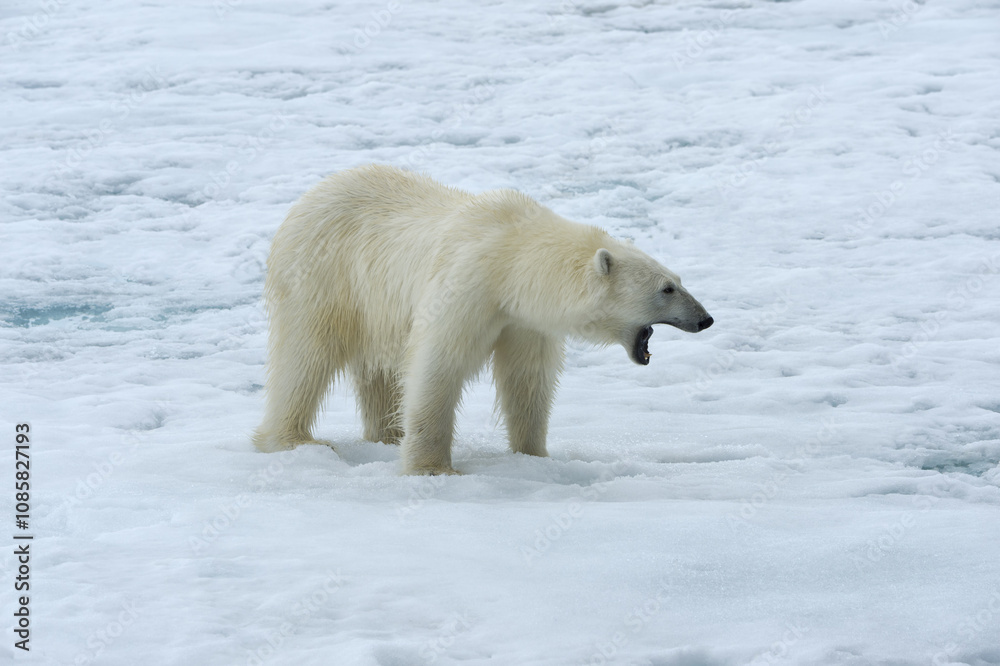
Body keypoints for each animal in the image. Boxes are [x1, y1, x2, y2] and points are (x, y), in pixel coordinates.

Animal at [253, 164, 713, 475]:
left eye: (678, 279)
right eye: (667, 288)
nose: (706, 319)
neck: (511, 257)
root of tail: (309, 196)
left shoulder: (523, 319)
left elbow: (527, 379)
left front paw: (535, 455)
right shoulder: (467, 287)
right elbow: (438, 365)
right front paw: (432, 468)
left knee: (377, 370)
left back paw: (387, 435)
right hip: (324, 276)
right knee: (305, 355)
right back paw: (294, 440)